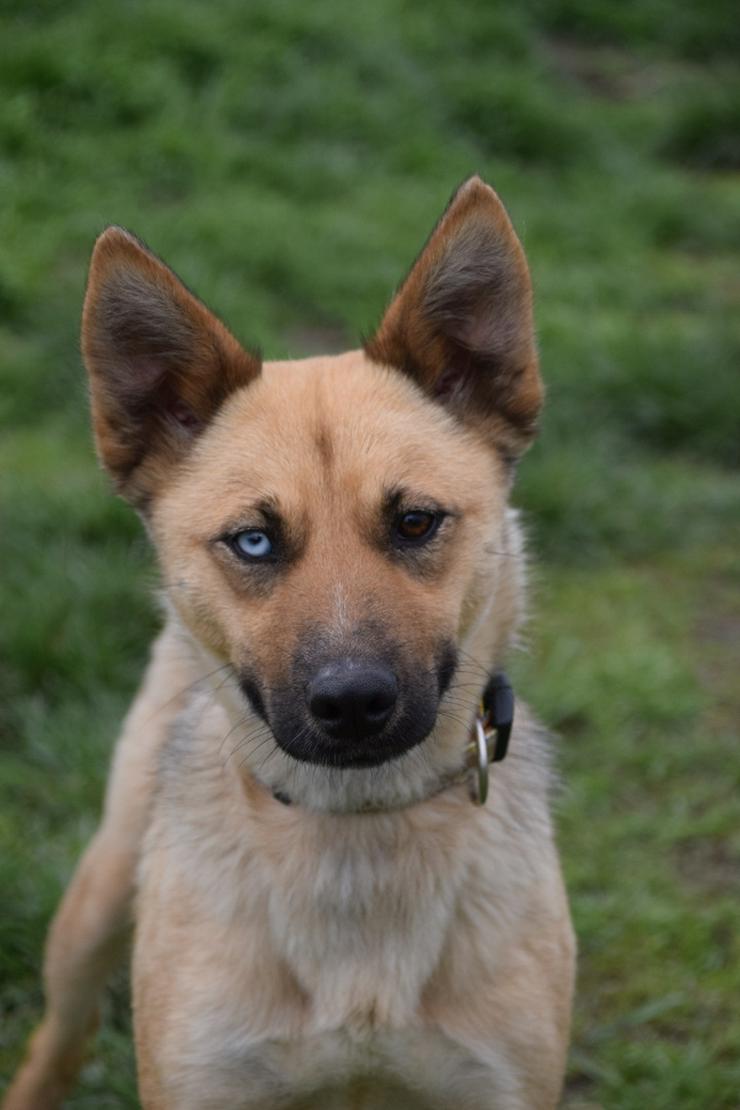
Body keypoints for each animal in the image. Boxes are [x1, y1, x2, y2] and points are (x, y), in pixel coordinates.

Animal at [2, 175, 576, 1110]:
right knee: (63, 1030)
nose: (352, 702)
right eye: (254, 541)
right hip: (96, 900)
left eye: (415, 521)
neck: (356, 834)